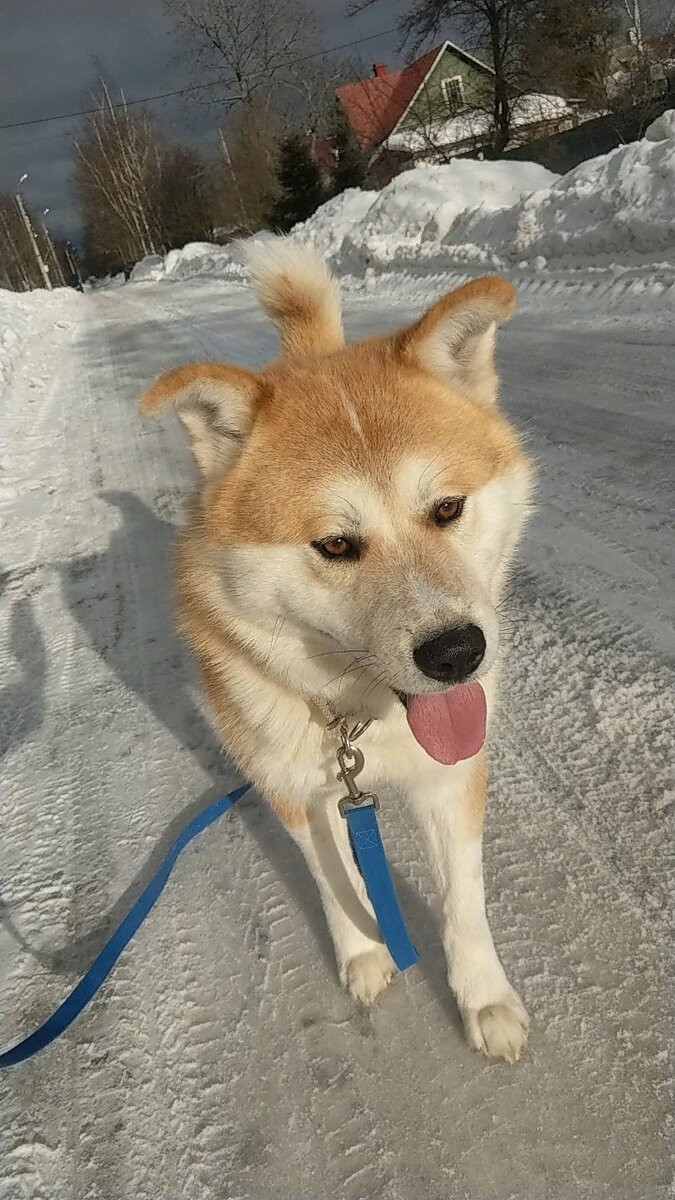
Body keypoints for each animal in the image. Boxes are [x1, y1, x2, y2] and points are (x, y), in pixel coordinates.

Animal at [139, 238, 533, 1065]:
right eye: (336, 545)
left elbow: (463, 900)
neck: (361, 716)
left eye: (446, 507)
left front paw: (483, 998)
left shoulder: (450, 781)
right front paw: (362, 953)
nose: (456, 653)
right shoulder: (295, 790)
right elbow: (333, 879)